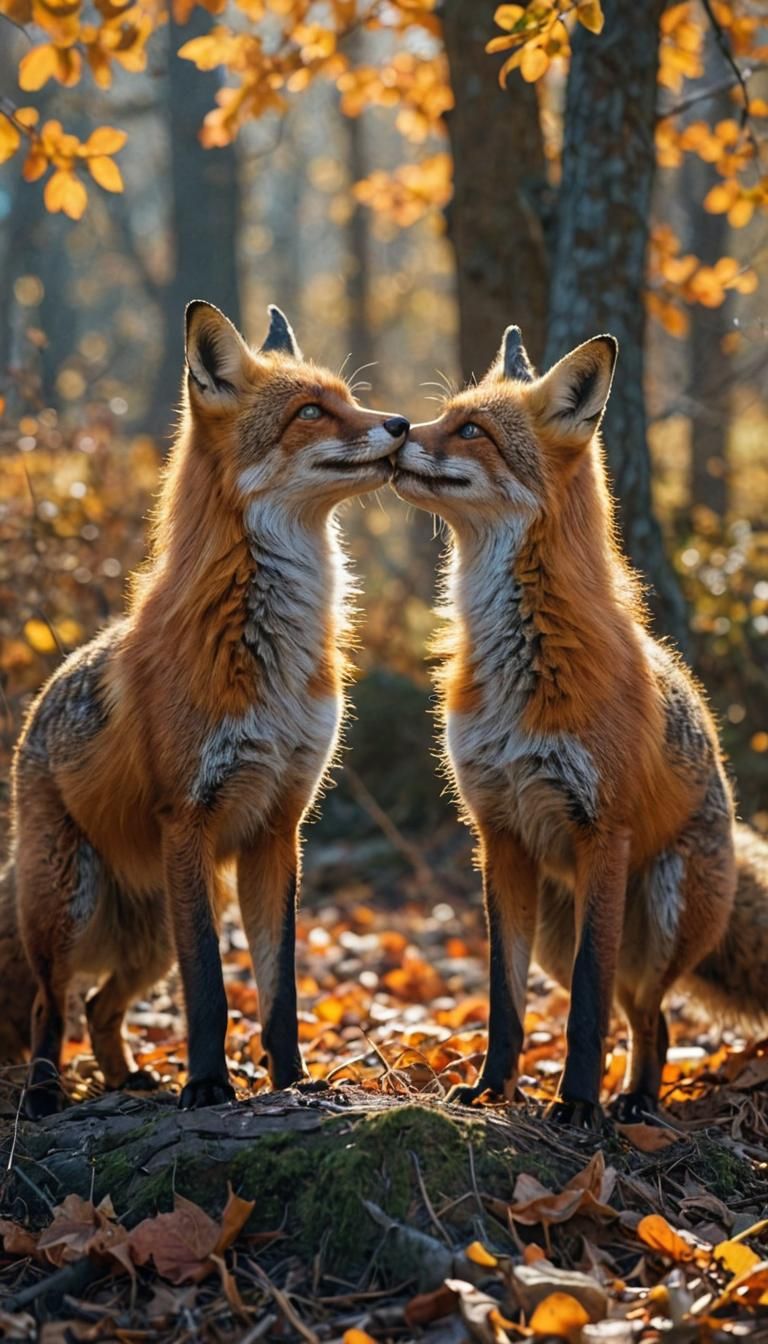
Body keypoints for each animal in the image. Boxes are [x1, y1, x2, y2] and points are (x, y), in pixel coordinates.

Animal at [8, 300, 409, 1118]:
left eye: (349, 399)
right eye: (310, 412)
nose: (402, 424)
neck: (268, 653)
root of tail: (34, 712)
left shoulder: (278, 826)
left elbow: (279, 987)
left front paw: (291, 1081)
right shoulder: (188, 819)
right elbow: (212, 990)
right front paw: (206, 1086)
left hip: (148, 934)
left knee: (99, 1007)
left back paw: (126, 1077)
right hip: (69, 905)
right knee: (50, 1006)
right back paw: (46, 1091)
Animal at [393, 324, 768, 1127]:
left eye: (471, 430)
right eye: (445, 415)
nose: (399, 428)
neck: (524, 660)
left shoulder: (604, 831)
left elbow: (586, 1011)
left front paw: (575, 1105)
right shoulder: (499, 833)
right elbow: (503, 999)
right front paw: (493, 1089)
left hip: (660, 906)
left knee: (649, 1017)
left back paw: (634, 1103)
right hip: (556, 934)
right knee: (644, 1019)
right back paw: (632, 1096)